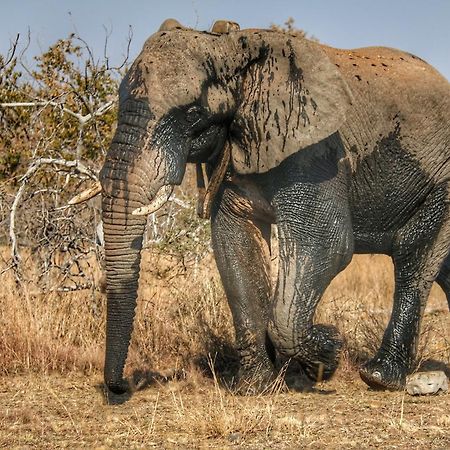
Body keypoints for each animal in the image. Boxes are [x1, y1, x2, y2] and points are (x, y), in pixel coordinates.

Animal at [78, 19, 450, 396]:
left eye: (192, 112)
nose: (120, 387)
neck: (229, 48)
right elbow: (235, 242)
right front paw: (255, 387)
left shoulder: (314, 152)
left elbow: (326, 244)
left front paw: (328, 352)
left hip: (442, 180)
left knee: (413, 257)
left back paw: (378, 376)